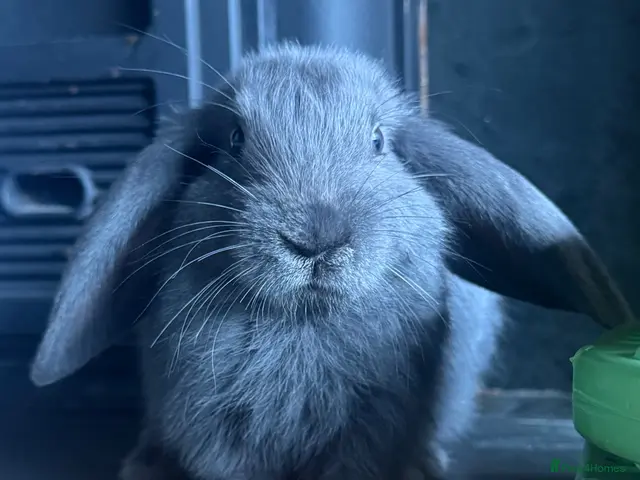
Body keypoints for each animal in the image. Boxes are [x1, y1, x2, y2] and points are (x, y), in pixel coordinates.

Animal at [28, 43, 636, 480]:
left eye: (379, 142)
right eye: (234, 139)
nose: (316, 238)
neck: (302, 322)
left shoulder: (373, 426)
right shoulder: (212, 425)